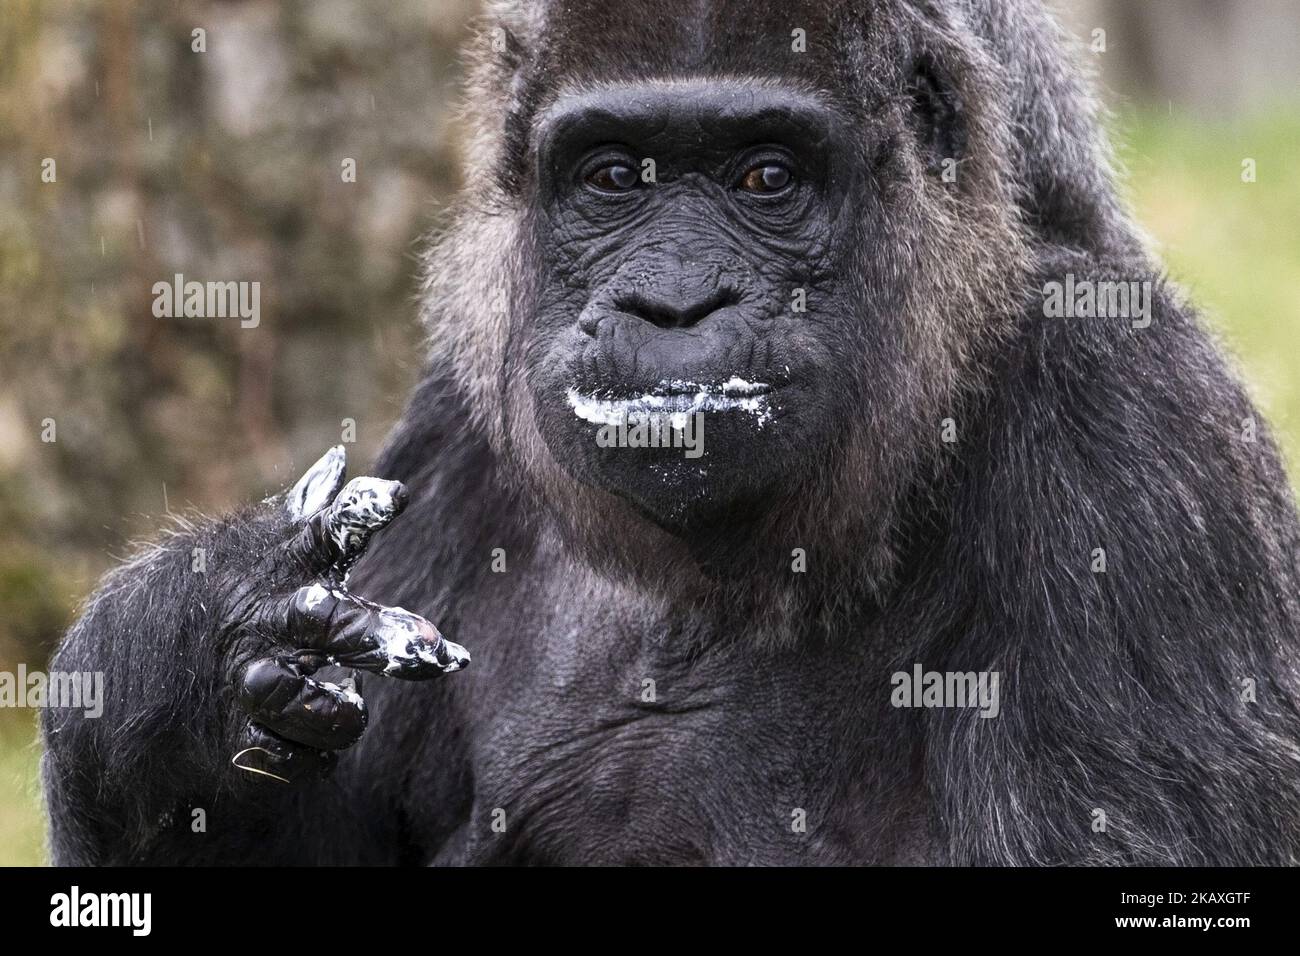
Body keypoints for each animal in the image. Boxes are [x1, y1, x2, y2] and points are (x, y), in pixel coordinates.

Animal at [40, 0, 1300, 868]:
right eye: (612, 177)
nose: (673, 304)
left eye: (766, 176)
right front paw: (193, 661)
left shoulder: (1136, 427)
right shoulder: (459, 418)